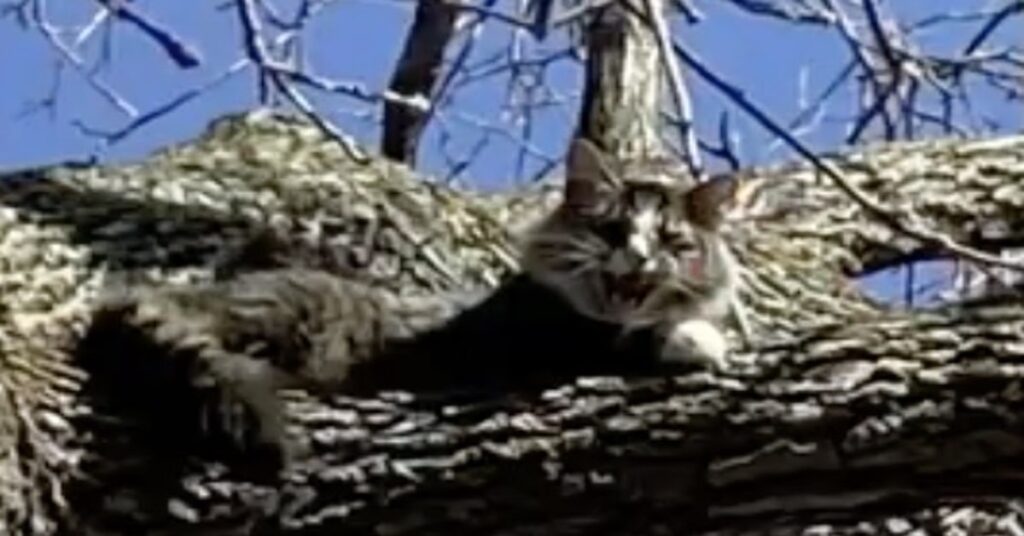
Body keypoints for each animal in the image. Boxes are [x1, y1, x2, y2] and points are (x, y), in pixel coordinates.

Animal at [75, 139, 741, 469]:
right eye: (610, 230)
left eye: (673, 242)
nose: (640, 257)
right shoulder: (539, 342)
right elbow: (634, 339)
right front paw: (695, 338)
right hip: (293, 308)